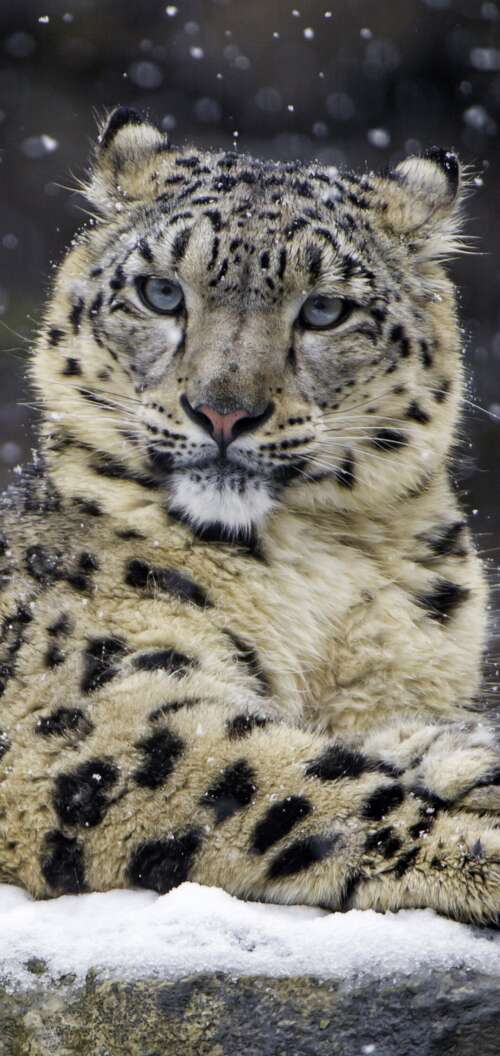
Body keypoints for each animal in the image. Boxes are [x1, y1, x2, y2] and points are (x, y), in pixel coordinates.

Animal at [0, 105, 499, 925]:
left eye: (325, 309)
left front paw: (455, 747)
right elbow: (292, 786)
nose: (223, 411)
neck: (319, 576)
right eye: (161, 293)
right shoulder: (83, 714)